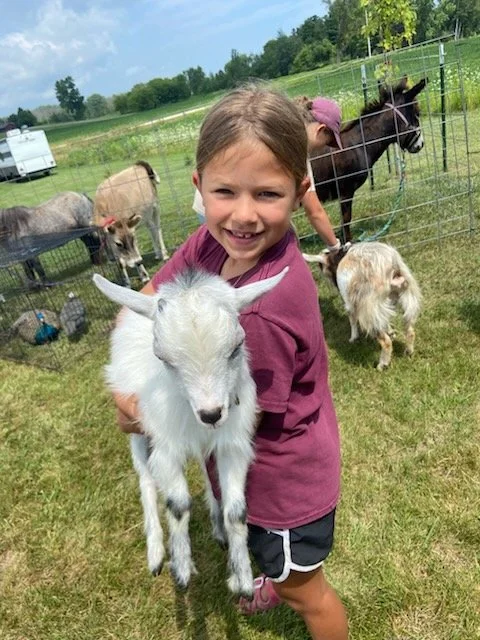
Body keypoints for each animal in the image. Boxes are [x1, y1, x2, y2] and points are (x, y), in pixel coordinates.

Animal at [93, 266, 289, 596]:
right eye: (162, 358)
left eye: (236, 348)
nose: (211, 413)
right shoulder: (166, 446)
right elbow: (178, 505)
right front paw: (182, 568)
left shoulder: (231, 444)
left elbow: (236, 511)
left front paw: (242, 577)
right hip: (135, 426)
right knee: (145, 479)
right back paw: (156, 552)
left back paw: (217, 527)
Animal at [311, 77, 427, 242]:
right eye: (417, 113)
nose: (420, 144)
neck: (359, 144)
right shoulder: (346, 190)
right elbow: (346, 219)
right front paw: (348, 243)